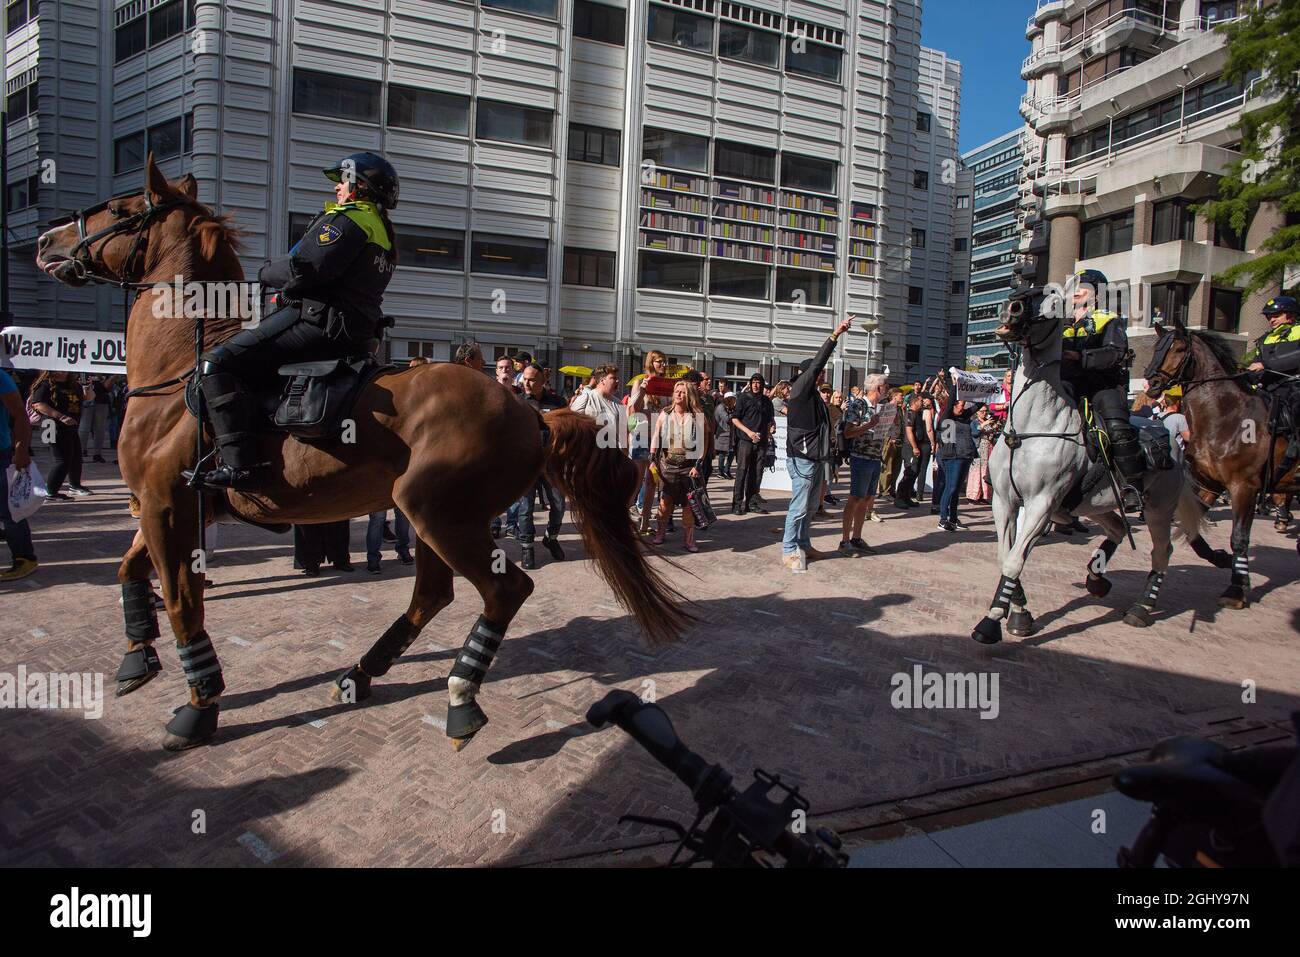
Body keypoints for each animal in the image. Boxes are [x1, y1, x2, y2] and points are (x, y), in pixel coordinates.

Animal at [32, 157, 691, 748]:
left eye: (122, 208)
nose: (44, 241)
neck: (177, 371)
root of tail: (529, 409)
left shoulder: (168, 507)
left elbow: (180, 601)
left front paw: (199, 707)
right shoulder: (162, 507)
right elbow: (130, 571)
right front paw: (137, 659)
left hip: (438, 515)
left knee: (502, 593)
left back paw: (460, 697)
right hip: (432, 519)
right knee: (433, 595)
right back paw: (362, 674)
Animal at [977, 283, 1227, 642]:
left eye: (1052, 302)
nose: (1011, 309)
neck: (1030, 427)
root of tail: (1173, 441)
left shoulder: (1041, 504)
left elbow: (1013, 561)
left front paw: (992, 620)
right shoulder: (1005, 501)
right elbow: (1006, 556)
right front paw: (1020, 613)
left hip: (1158, 508)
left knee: (1161, 552)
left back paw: (1141, 608)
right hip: (1096, 504)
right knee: (1120, 528)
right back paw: (1096, 579)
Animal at [1144, 319, 1294, 605]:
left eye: (1179, 349)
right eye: (1156, 347)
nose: (1152, 381)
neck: (1227, 416)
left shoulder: (1244, 485)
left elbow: (1240, 537)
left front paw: (1236, 586)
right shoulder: (1209, 483)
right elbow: (1191, 528)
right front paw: (1223, 561)